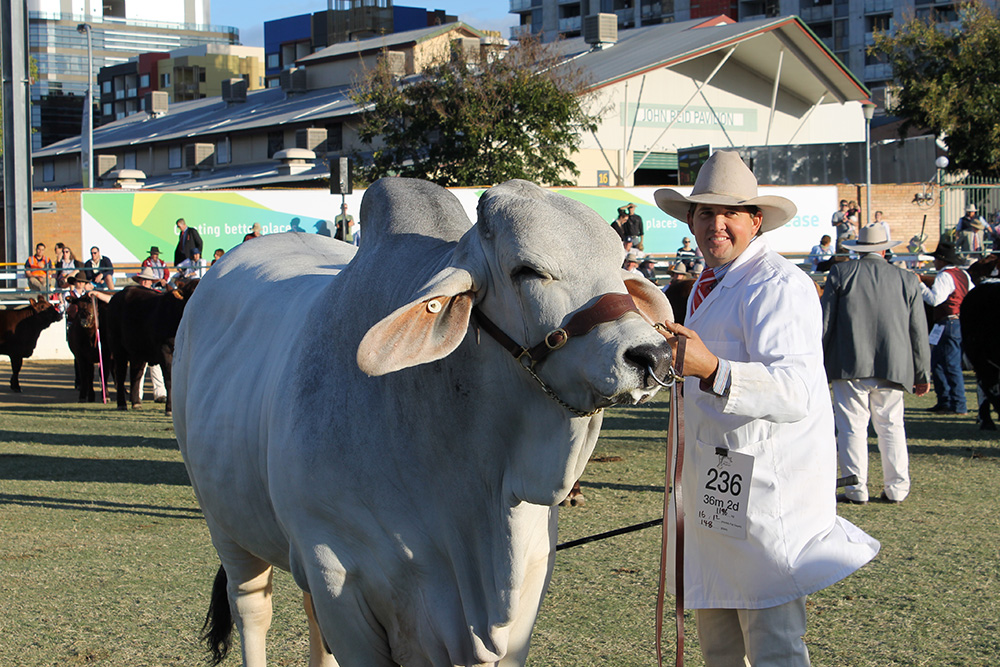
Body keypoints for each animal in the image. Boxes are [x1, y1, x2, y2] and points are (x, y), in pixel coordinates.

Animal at [174, 179, 672, 667]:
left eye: (619, 265)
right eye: (526, 271)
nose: (653, 355)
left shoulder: (528, 587)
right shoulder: (336, 578)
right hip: (226, 526)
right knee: (252, 609)